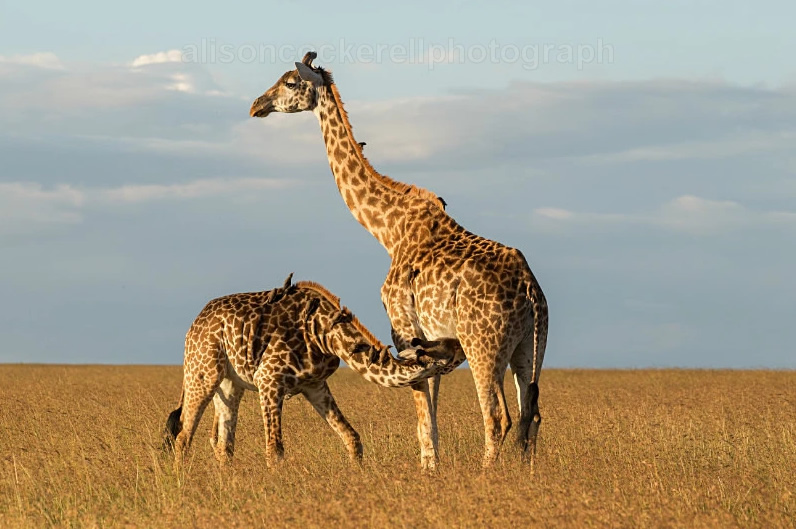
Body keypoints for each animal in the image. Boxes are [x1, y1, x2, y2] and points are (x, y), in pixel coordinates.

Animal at [162, 273, 456, 469]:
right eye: (448, 346)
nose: (461, 345)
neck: (327, 334)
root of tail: (194, 325)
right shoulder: (269, 380)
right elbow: (275, 449)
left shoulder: (315, 385)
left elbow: (352, 438)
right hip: (203, 372)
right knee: (183, 436)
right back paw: (182, 482)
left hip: (229, 384)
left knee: (223, 442)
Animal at [248, 52, 549, 470]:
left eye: (291, 82)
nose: (256, 105)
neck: (387, 230)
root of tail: (530, 290)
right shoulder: (431, 340)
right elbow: (431, 416)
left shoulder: (404, 330)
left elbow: (424, 419)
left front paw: (429, 472)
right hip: (531, 345)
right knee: (529, 416)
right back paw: (525, 476)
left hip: (483, 345)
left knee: (497, 417)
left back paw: (485, 477)